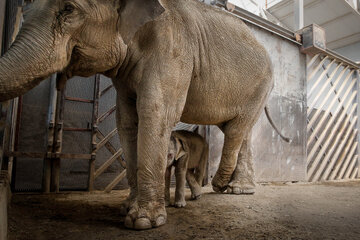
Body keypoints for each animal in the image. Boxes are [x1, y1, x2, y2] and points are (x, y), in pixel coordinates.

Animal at [0, 0, 276, 230]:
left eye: (68, 9)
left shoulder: (172, 50)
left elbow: (156, 112)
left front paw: (143, 222)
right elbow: (126, 121)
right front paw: (126, 208)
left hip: (261, 85)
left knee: (236, 129)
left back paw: (225, 186)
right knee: (239, 131)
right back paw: (236, 189)